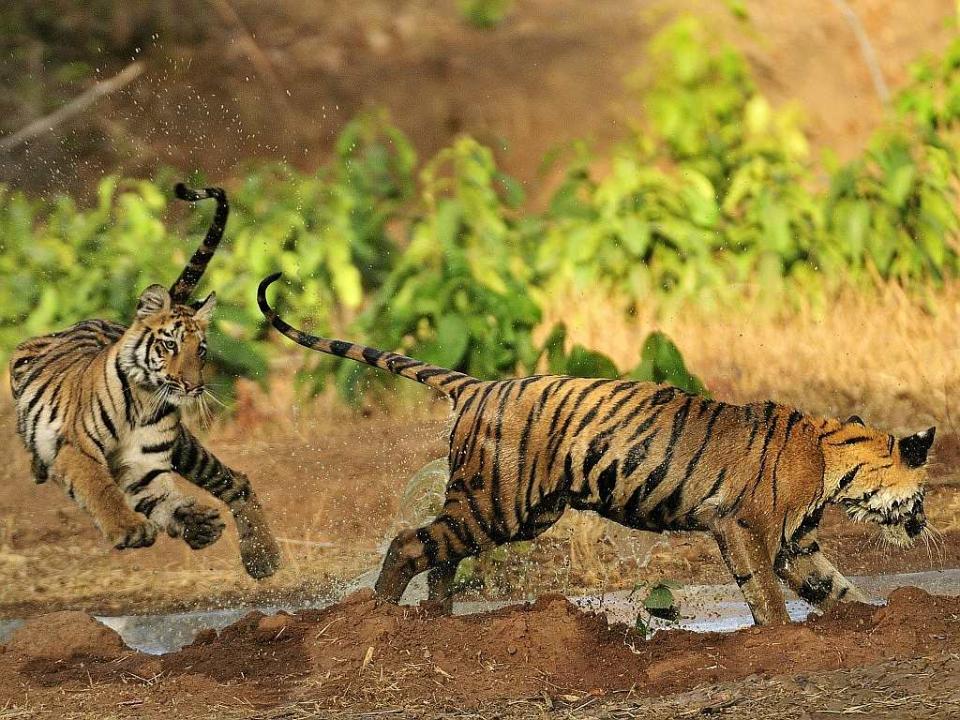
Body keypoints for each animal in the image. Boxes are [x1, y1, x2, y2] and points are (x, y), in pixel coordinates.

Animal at [11, 184, 282, 580]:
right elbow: (101, 489)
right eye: (170, 345)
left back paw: (260, 557)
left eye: (201, 350)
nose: (192, 386)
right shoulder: (78, 447)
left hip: (185, 449)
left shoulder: (143, 463)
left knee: (237, 482)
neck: (143, 400)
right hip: (25, 358)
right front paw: (129, 529)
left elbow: (150, 491)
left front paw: (192, 522)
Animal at [258, 274, 932, 624]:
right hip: (497, 503)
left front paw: (879, 615)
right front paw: (780, 636)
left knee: (442, 552)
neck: (836, 465)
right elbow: (764, 591)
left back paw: (438, 621)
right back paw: (380, 617)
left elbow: (834, 585)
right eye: (924, 494)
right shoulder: (741, 526)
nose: (925, 523)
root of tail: (478, 384)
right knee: (410, 543)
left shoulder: (798, 544)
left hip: (513, 512)